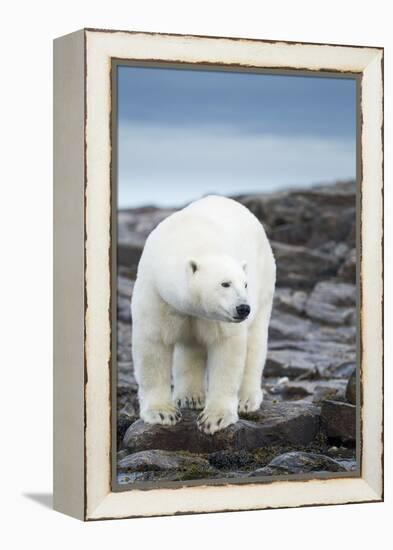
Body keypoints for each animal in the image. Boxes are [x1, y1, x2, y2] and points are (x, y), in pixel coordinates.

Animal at [130, 195, 274, 436]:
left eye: (244, 283)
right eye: (225, 283)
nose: (243, 308)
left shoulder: (220, 320)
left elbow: (227, 350)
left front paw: (215, 418)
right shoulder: (157, 294)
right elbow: (153, 344)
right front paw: (163, 413)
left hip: (264, 284)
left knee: (255, 342)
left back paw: (246, 399)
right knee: (190, 346)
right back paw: (190, 397)